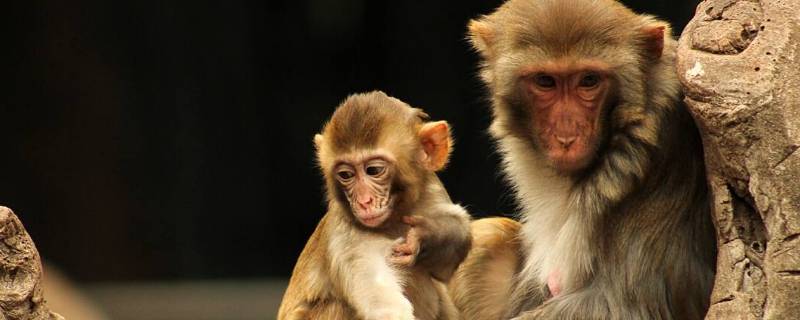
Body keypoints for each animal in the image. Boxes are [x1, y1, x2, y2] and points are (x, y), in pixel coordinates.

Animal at [278, 90, 472, 320]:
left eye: (373, 170)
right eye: (346, 175)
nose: (364, 202)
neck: (393, 219)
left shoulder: (431, 190)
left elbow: (454, 242)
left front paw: (423, 236)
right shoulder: (348, 238)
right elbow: (386, 308)